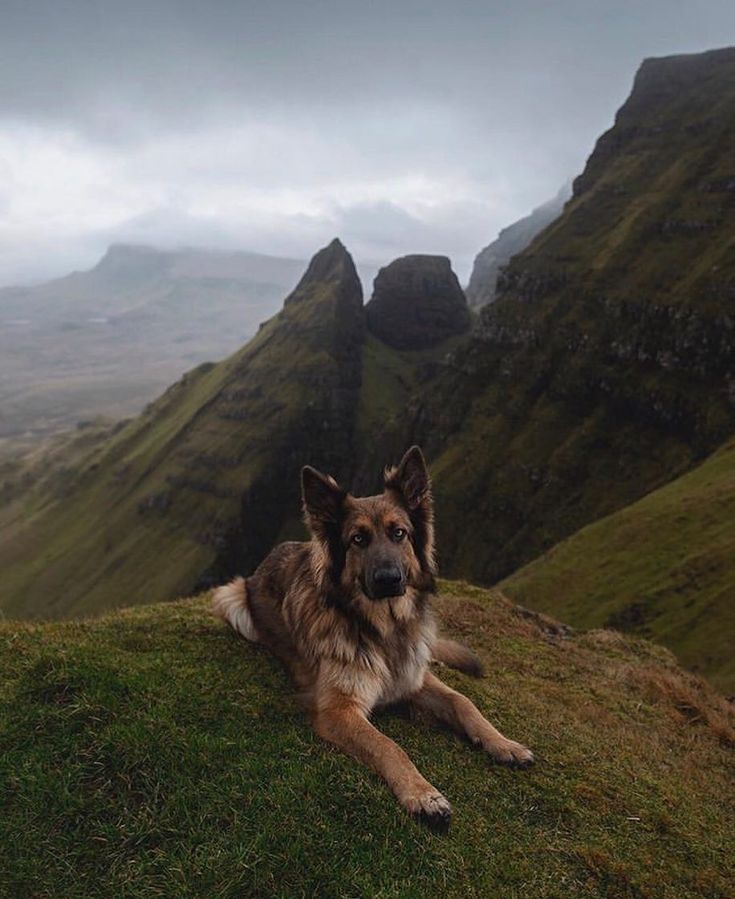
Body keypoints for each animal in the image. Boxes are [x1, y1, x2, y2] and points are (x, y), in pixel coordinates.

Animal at [214, 446, 536, 828]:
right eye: (358, 539)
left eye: (399, 533)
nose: (388, 579)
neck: (384, 628)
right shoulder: (338, 709)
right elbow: (388, 745)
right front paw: (423, 794)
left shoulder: (413, 676)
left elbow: (464, 702)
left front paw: (504, 743)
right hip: (231, 596)